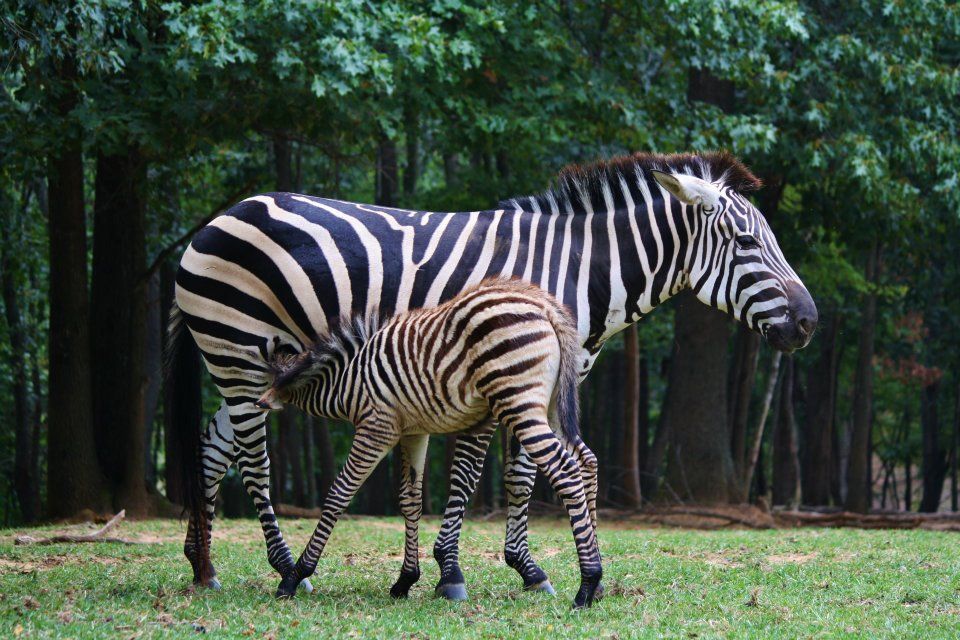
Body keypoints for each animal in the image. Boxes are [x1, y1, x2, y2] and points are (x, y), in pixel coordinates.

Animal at [255, 278, 603, 608]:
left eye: (272, 379)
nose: (258, 403)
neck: (348, 380)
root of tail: (546, 307)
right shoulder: (413, 431)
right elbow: (410, 499)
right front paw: (405, 580)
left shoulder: (376, 427)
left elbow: (339, 493)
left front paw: (296, 576)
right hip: (550, 405)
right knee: (587, 461)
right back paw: (598, 581)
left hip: (519, 402)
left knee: (565, 471)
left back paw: (586, 585)